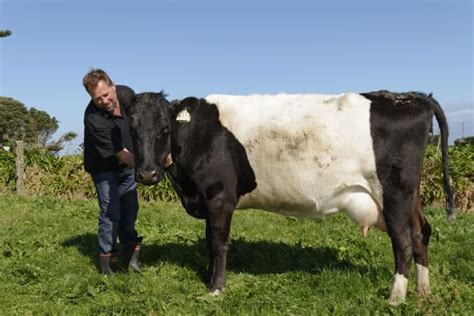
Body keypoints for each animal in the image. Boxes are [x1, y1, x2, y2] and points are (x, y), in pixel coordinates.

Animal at [126, 90, 456, 304]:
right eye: (132, 129)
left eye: (165, 129)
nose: (147, 174)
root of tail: (411, 95)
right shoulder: (208, 201)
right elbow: (210, 242)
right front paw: (209, 278)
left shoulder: (219, 196)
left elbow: (218, 243)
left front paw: (215, 289)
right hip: (410, 194)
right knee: (421, 233)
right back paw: (423, 291)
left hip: (394, 192)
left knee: (403, 240)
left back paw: (395, 298)